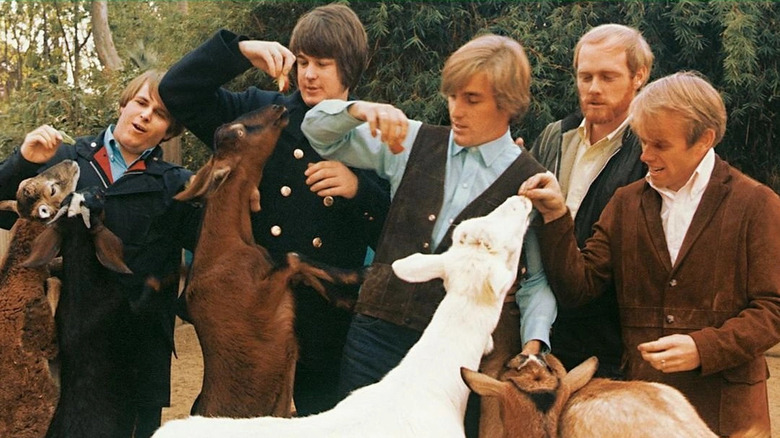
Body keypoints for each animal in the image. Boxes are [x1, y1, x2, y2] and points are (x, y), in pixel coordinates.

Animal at [172, 104, 362, 420]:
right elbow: (294, 257)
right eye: (237, 132)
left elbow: (305, 272)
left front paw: (348, 298)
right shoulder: (260, 301)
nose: (278, 107)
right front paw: (361, 274)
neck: (224, 248)